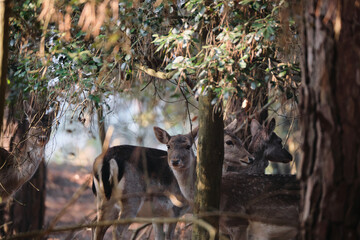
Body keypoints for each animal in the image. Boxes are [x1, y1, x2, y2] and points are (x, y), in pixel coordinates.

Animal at [91, 120, 252, 240]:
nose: (250, 158)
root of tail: (106, 160)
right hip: (131, 198)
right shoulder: (175, 209)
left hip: (103, 199)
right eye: (229, 142)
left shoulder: (157, 214)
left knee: (96, 226)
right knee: (117, 229)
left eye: (240, 139)